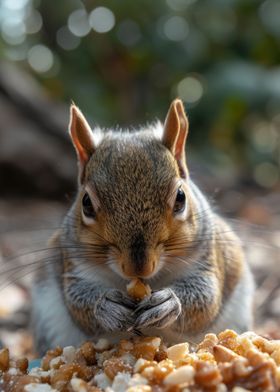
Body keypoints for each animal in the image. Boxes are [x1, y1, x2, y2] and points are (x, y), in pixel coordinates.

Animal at [31, 99, 255, 356]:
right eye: (86, 203)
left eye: (181, 198)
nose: (138, 267)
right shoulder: (76, 265)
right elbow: (78, 301)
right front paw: (106, 306)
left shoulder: (206, 260)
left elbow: (206, 298)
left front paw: (169, 302)